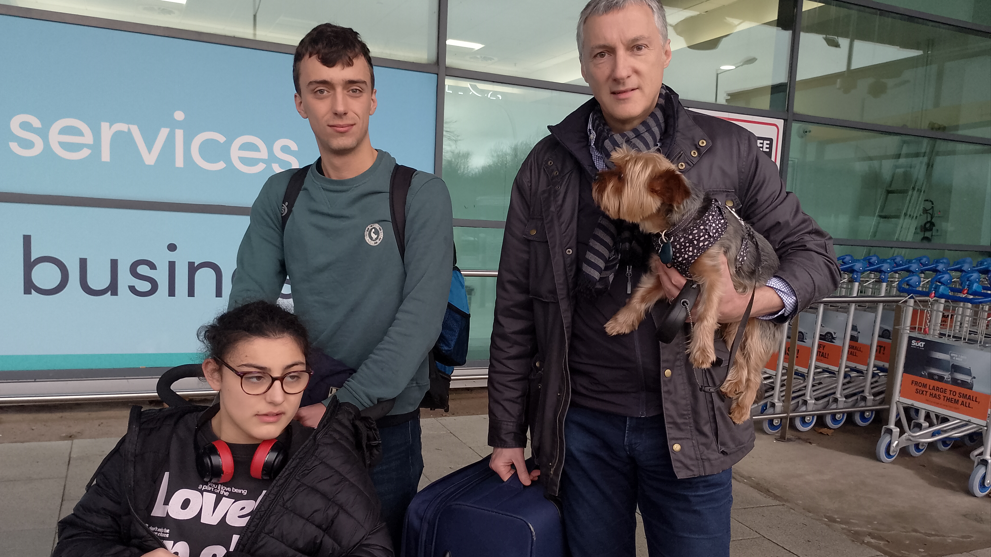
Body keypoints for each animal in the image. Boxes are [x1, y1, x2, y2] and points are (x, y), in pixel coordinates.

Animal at [592, 146, 788, 424]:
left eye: (621, 176)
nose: (597, 177)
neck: (680, 227)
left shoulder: (714, 277)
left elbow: (706, 314)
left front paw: (702, 353)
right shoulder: (662, 275)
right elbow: (639, 298)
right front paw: (621, 321)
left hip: (755, 328)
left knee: (754, 373)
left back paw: (741, 408)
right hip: (734, 327)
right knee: (738, 358)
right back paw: (732, 384)